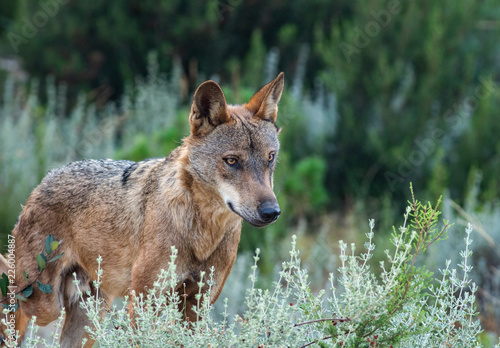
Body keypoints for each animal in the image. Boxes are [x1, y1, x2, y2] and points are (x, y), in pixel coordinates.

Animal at [0, 72, 286, 346]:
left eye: (270, 158)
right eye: (232, 161)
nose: (272, 212)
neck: (202, 234)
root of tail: (43, 181)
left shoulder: (198, 308)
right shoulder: (143, 304)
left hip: (89, 316)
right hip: (44, 303)